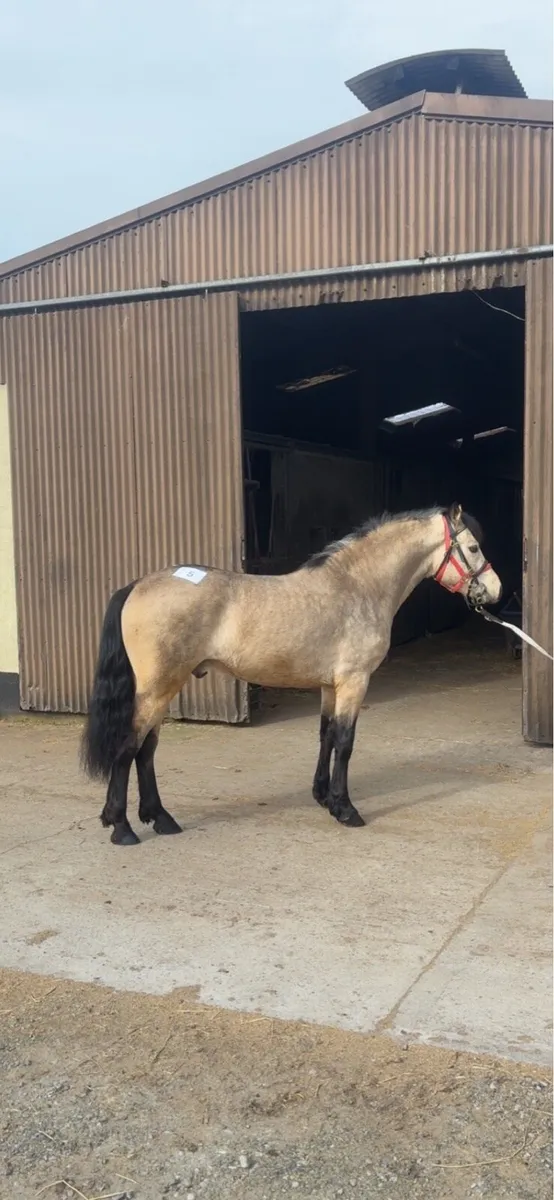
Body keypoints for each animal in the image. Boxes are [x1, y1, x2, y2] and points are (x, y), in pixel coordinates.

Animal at [80, 503, 502, 846]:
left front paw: (323, 797)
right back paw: (122, 828)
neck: (357, 587)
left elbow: (326, 736)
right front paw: (345, 809)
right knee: (128, 748)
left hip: (164, 689)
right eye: (474, 548)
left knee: (146, 751)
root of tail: (136, 585)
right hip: (157, 690)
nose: (495, 591)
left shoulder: (330, 686)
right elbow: (345, 743)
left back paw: (161, 819)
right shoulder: (354, 681)